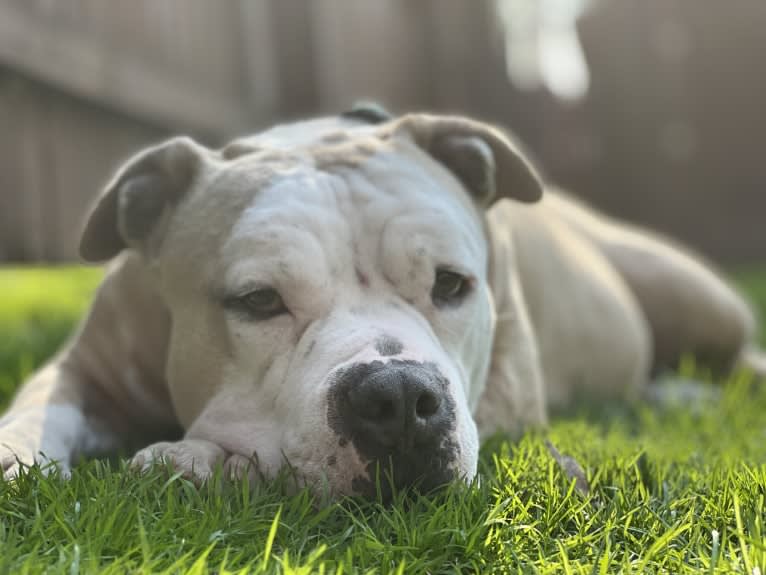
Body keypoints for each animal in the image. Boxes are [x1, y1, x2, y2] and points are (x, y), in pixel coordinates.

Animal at [1, 104, 766, 500]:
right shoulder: (84, 365)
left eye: (452, 284)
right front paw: (15, 457)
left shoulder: (507, 394)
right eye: (257, 300)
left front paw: (199, 460)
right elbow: (40, 408)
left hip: (694, 297)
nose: (399, 397)